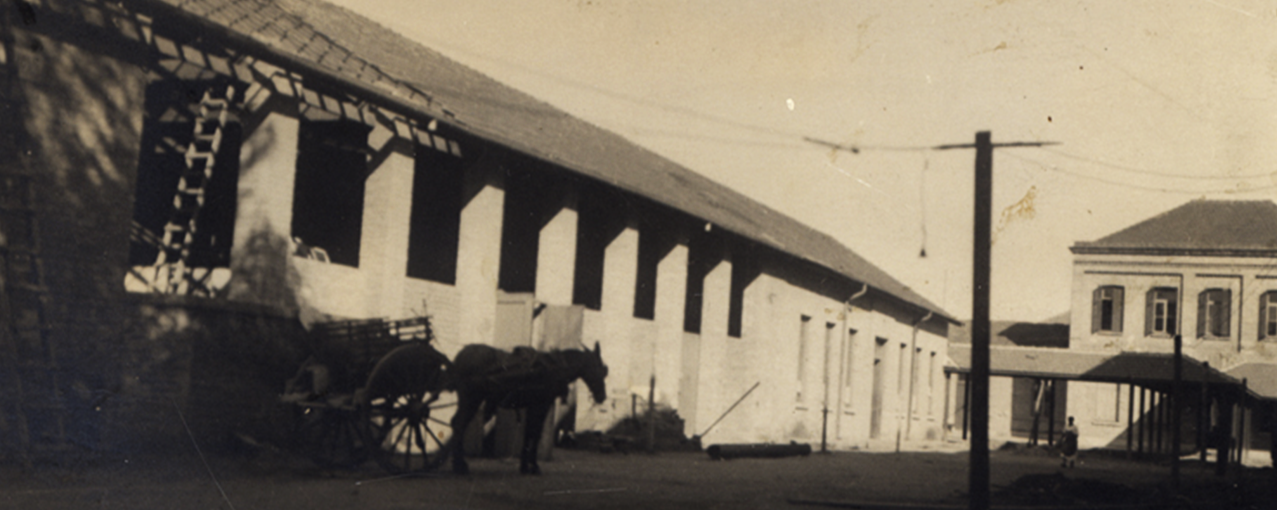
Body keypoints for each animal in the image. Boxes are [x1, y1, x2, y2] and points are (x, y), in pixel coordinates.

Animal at [446, 342, 610, 478]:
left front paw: (525, 466)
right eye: (600, 369)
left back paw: (456, 463)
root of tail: (461, 355)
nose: (602, 396)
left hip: (469, 401)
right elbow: (535, 434)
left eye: (604, 371)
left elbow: (529, 433)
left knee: (457, 423)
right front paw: (534, 466)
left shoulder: (533, 406)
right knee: (459, 424)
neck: (555, 368)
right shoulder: (541, 405)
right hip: (471, 399)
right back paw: (459, 465)